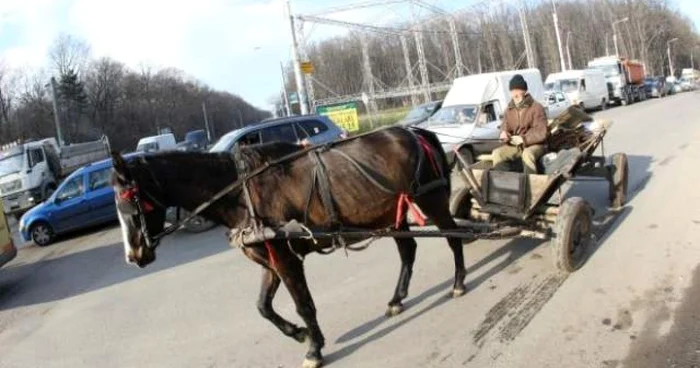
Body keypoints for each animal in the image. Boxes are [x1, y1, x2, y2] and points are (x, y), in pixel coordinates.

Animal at [110, 125, 470, 366]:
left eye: (130, 203)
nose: (133, 255)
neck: (241, 192)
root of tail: (415, 132)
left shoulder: (286, 257)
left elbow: (303, 304)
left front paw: (314, 348)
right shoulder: (270, 256)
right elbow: (263, 306)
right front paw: (299, 333)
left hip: (431, 200)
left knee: (454, 238)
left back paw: (458, 282)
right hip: (391, 213)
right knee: (408, 250)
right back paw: (396, 299)